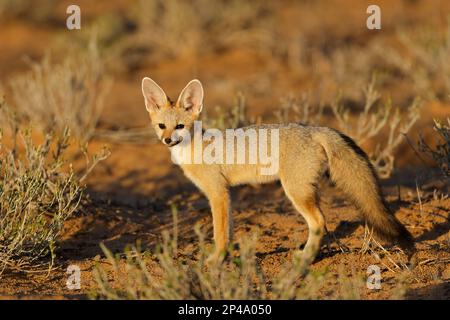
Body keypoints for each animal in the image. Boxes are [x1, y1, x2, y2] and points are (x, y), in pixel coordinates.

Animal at [142, 77, 414, 262]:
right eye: (162, 126)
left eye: (180, 126)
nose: (167, 140)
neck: (196, 145)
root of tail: (314, 128)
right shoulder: (227, 193)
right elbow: (228, 230)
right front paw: (228, 255)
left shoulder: (217, 193)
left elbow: (219, 233)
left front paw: (217, 260)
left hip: (295, 191)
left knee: (319, 222)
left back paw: (306, 258)